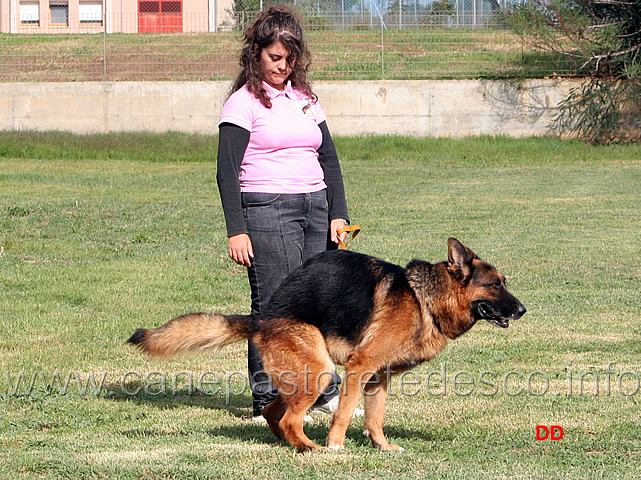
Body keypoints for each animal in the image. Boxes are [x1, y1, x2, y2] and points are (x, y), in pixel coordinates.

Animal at [126, 238, 524, 452]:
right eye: (494, 285)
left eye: (504, 282)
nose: (522, 309)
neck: (423, 299)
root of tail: (263, 318)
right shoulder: (359, 368)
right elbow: (345, 413)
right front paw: (337, 444)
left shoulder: (379, 378)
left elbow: (376, 418)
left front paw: (381, 447)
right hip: (320, 372)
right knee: (288, 416)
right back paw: (313, 449)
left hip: (306, 375)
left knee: (275, 412)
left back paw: (294, 446)